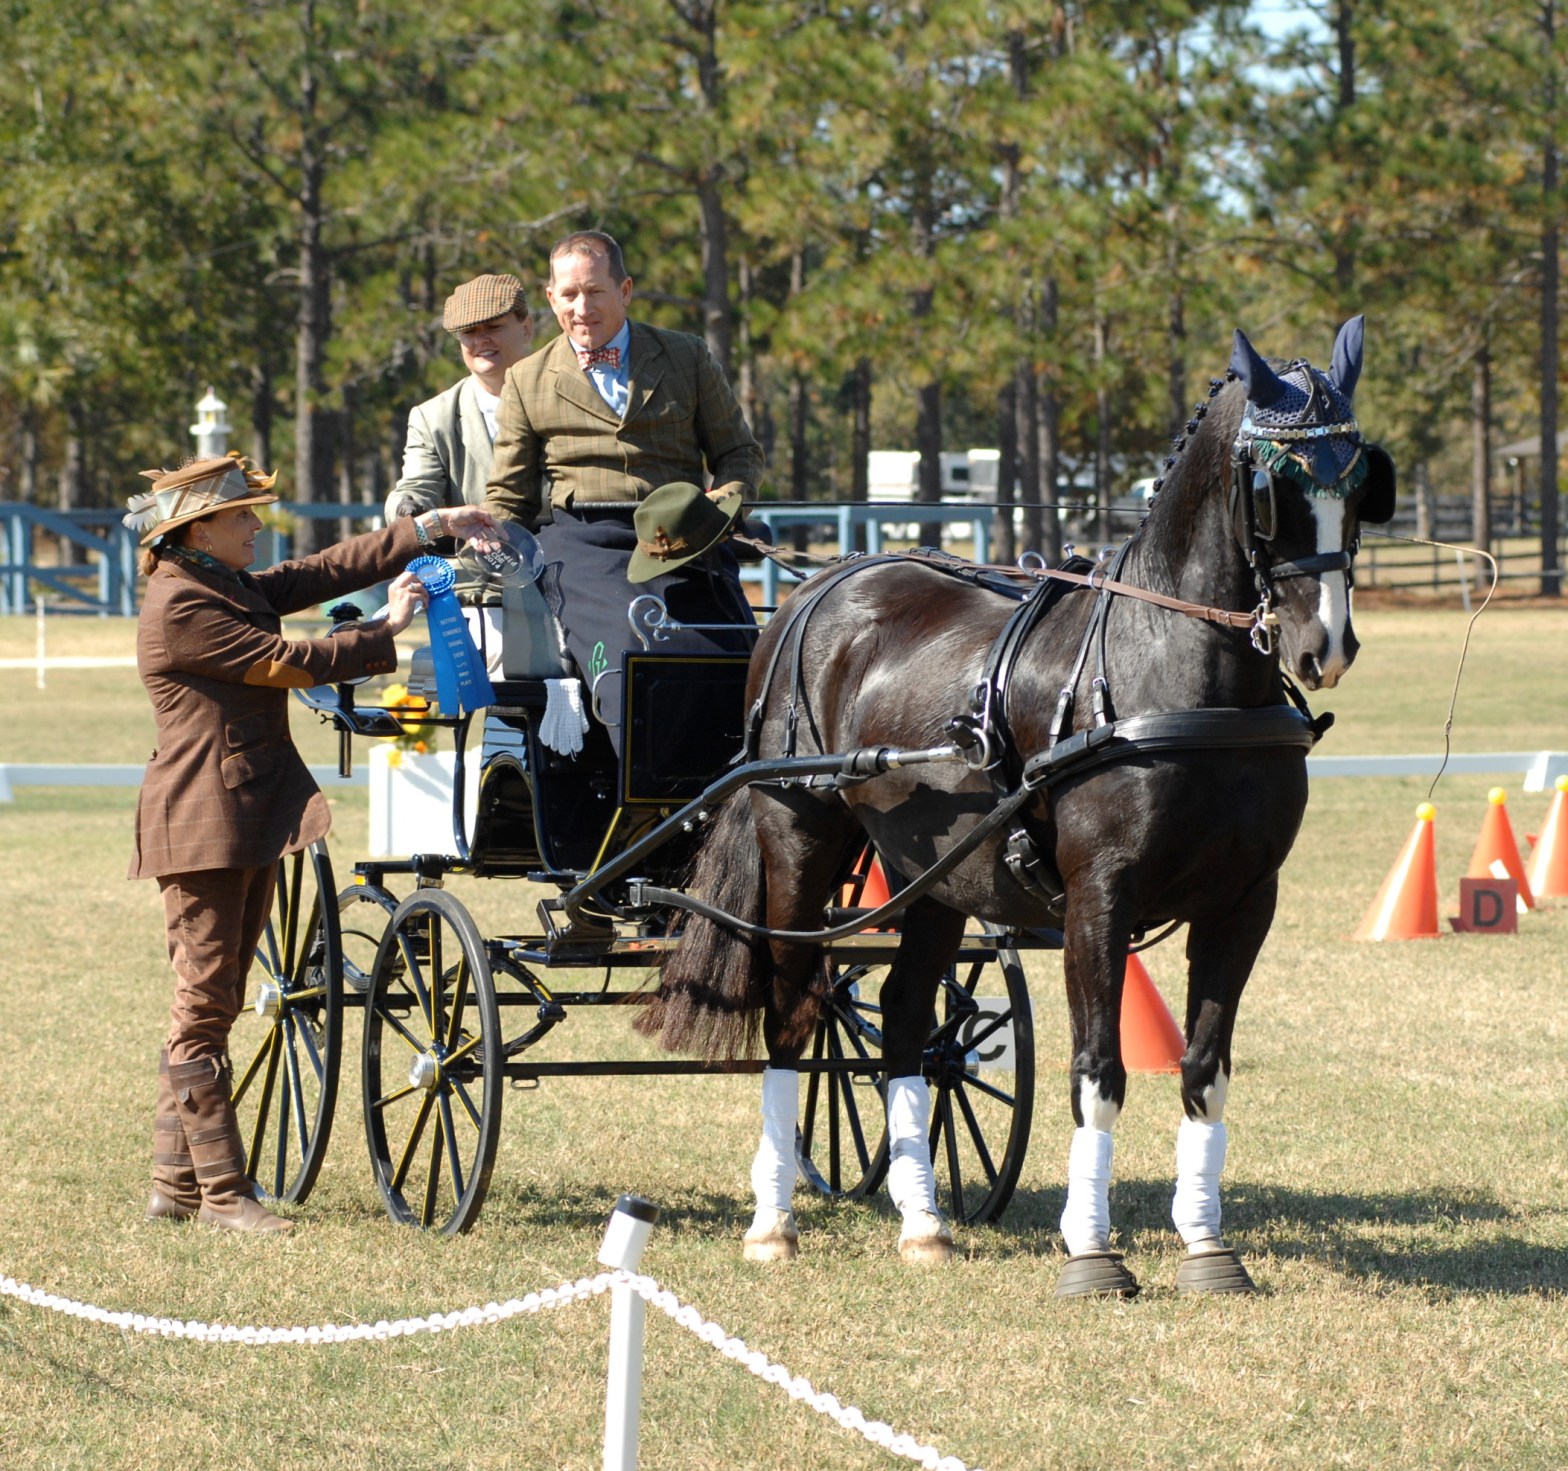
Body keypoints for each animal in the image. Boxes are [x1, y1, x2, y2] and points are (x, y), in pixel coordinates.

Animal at [638, 318, 1396, 1296]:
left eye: (1360, 479)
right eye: (1271, 486)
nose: (1324, 646)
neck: (1171, 671)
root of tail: (811, 591)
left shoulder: (1245, 901)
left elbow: (1204, 1069)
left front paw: (1206, 1246)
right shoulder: (1098, 898)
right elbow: (1098, 1072)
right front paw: (1093, 1252)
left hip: (929, 874)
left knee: (905, 1019)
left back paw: (924, 1221)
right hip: (799, 839)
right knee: (794, 1006)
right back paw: (774, 1221)